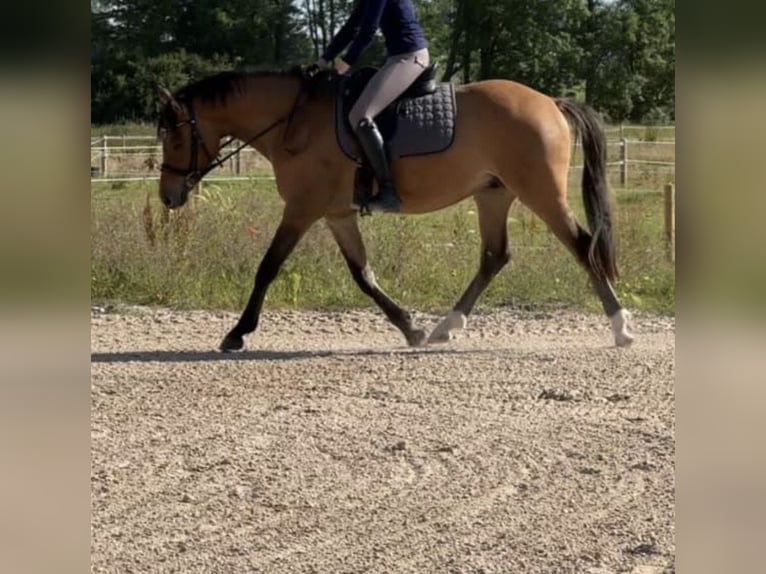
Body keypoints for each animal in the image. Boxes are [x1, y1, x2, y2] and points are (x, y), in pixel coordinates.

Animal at [158, 67, 636, 352]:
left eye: (176, 136)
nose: (168, 197)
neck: (293, 120)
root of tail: (550, 102)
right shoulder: (336, 214)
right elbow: (363, 275)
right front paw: (410, 327)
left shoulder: (301, 209)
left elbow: (268, 267)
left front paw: (237, 333)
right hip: (493, 194)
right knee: (494, 256)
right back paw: (446, 327)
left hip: (540, 192)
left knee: (582, 246)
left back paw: (621, 327)